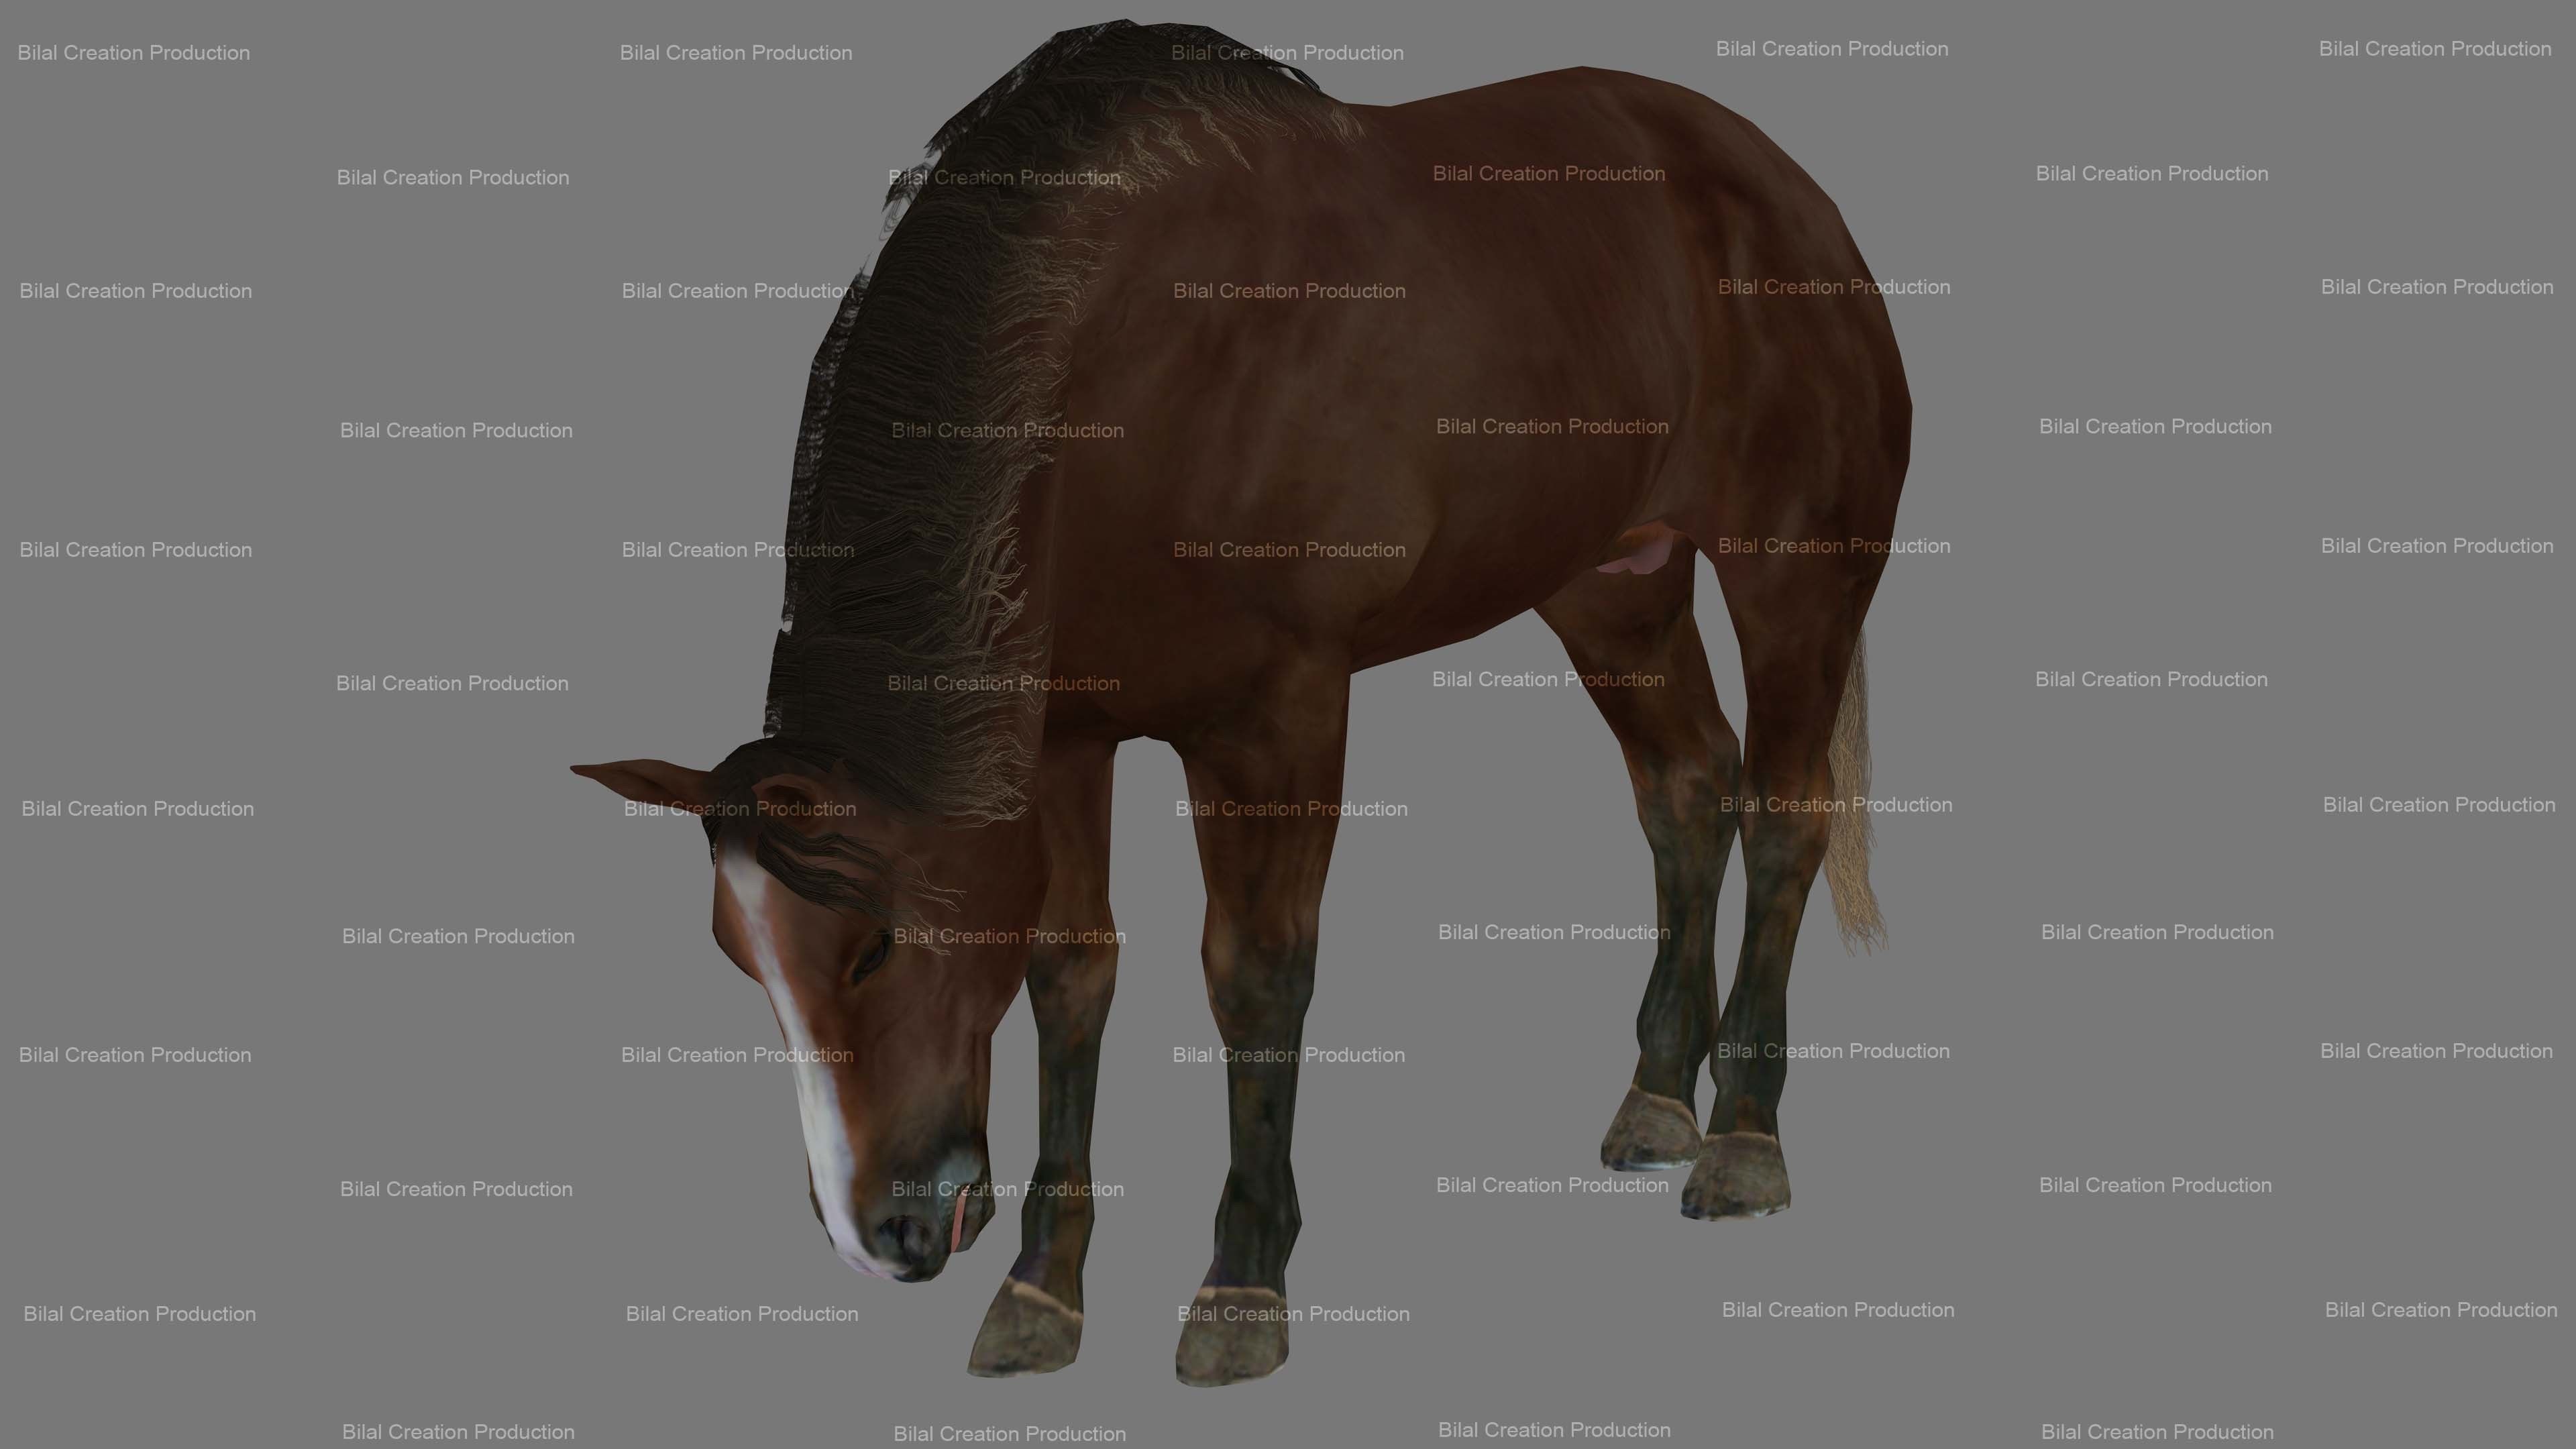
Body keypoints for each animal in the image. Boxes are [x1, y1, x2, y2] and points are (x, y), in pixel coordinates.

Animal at [573, 20, 1910, 1386]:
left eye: (877, 942)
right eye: (740, 957)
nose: (883, 1237)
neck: (1119, 377)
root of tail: (1780, 181)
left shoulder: (1277, 717)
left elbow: (1256, 973)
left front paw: (1241, 1286)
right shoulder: (1065, 737)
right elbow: (1069, 974)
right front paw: (1043, 1291)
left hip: (1794, 574)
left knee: (1785, 811)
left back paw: (1744, 1141)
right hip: (1610, 588)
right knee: (1687, 789)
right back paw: (1654, 1101)